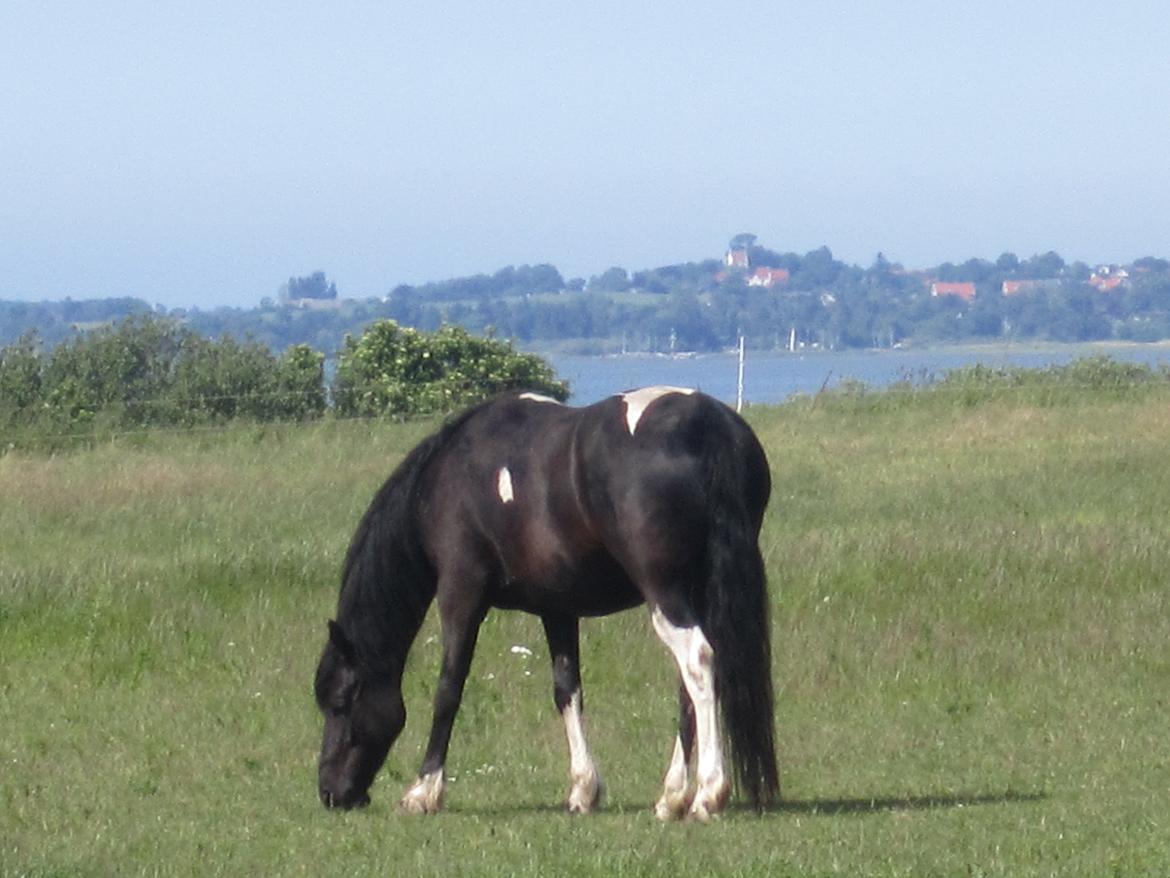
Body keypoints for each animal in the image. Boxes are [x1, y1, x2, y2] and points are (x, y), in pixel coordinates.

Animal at [315, 388, 781, 824]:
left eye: (339, 702)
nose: (331, 794)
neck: (451, 473)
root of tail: (706, 424)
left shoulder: (462, 591)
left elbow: (449, 688)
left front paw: (423, 792)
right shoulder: (558, 608)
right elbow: (567, 690)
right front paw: (583, 791)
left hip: (665, 593)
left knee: (697, 662)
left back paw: (707, 795)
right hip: (695, 591)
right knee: (693, 681)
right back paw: (673, 797)